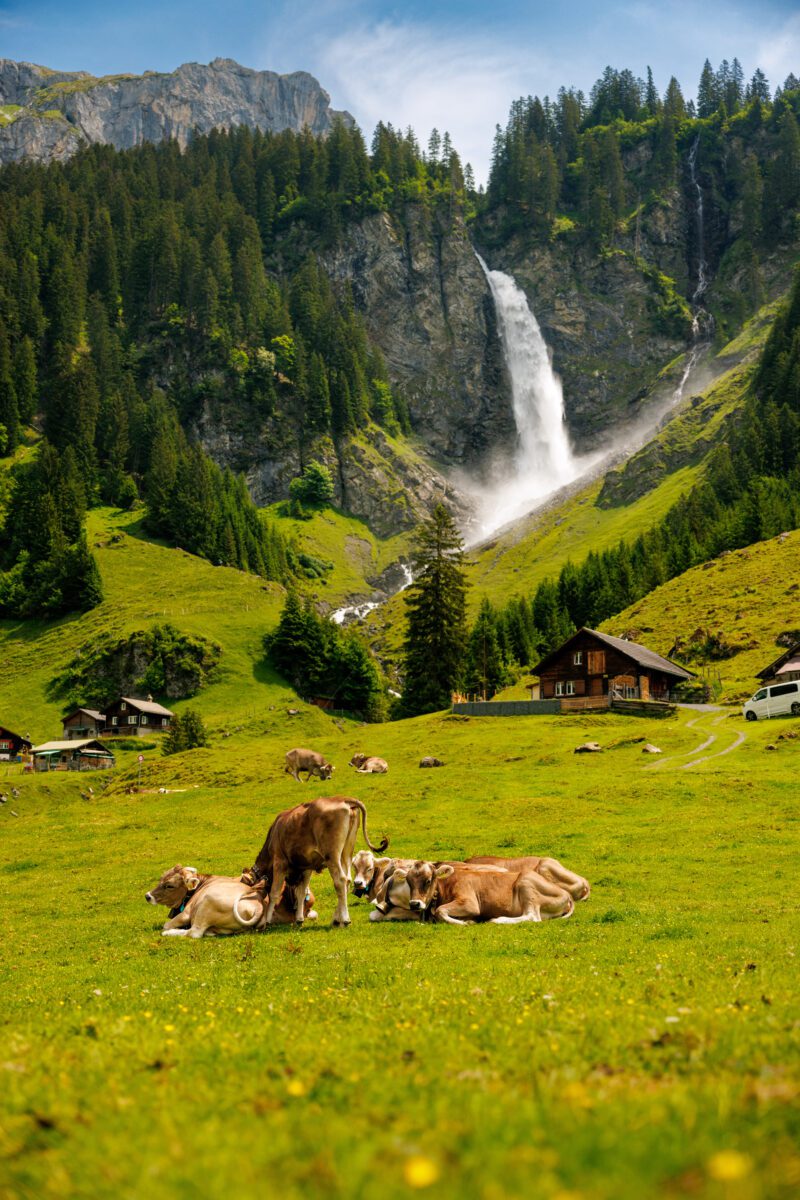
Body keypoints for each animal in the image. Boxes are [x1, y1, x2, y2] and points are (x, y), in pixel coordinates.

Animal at [145, 868, 316, 940]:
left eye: (169, 886)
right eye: (161, 879)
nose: (147, 896)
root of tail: (258, 905)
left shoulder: (186, 913)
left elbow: (167, 924)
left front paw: (168, 929)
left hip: (206, 905)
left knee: (195, 933)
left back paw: (169, 933)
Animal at [242, 796, 388, 926]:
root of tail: (343, 799)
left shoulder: (279, 862)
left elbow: (274, 892)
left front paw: (268, 920)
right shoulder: (307, 867)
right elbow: (301, 892)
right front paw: (299, 919)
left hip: (331, 854)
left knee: (340, 880)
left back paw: (345, 919)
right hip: (346, 852)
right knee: (347, 880)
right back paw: (337, 919)